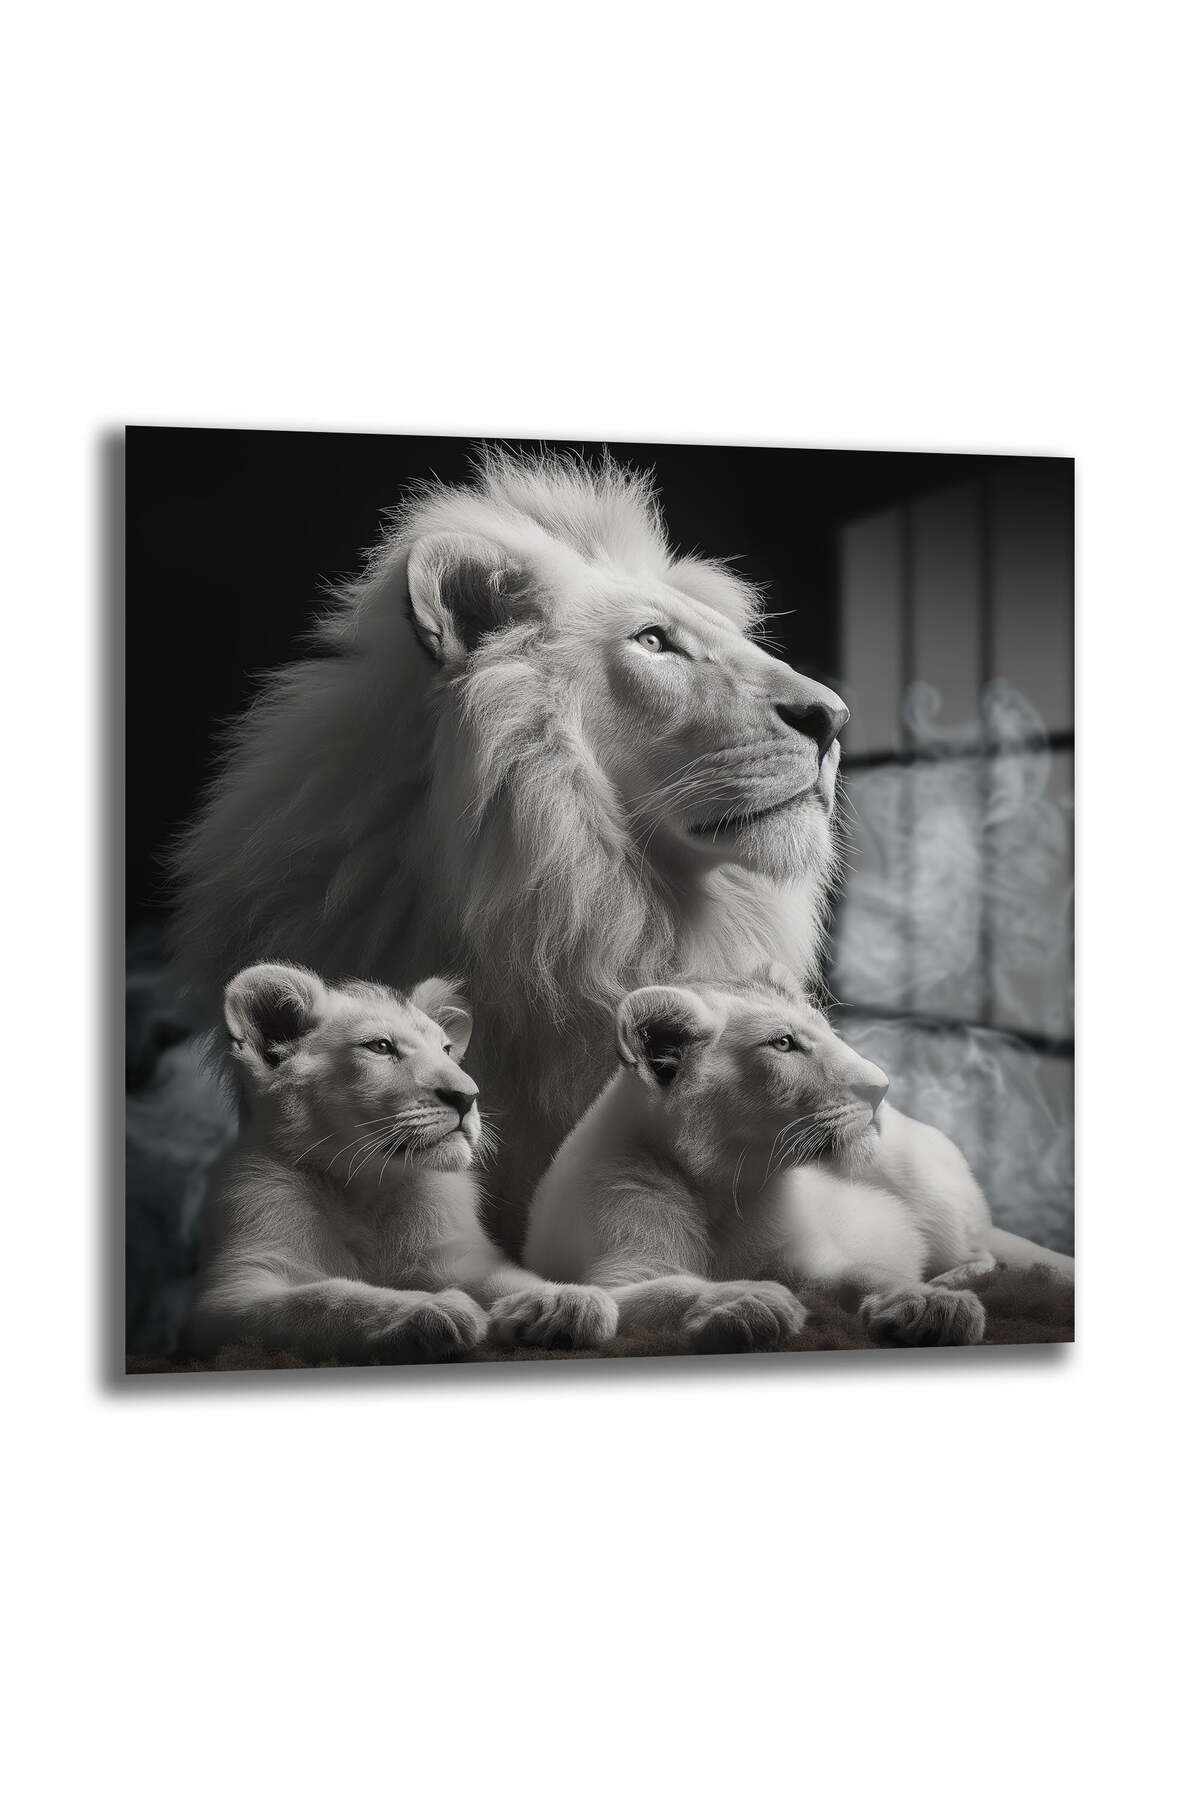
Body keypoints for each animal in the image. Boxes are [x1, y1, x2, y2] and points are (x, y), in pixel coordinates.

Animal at [187, 962, 617, 1361]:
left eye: (446, 1050)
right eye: (380, 1047)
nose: (468, 1096)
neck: (363, 1184)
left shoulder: (456, 1257)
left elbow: (508, 1279)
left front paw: (567, 1302)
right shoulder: (235, 1291)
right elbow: (324, 1301)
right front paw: (432, 1309)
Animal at [524, 964, 1073, 1351]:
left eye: (827, 1031)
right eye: (783, 1044)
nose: (882, 1088)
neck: (726, 1186)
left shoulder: (814, 1260)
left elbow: (867, 1273)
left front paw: (926, 1303)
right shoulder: (618, 1274)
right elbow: (667, 1292)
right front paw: (748, 1299)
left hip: (924, 1182)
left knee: (982, 1255)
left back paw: (947, 1279)